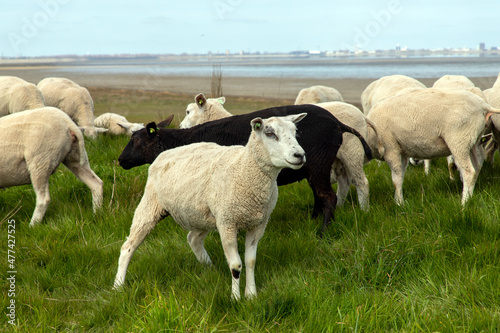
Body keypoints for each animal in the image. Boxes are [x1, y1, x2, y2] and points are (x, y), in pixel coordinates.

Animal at [114, 113, 306, 300]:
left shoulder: (258, 224)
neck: (244, 168)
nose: (300, 155)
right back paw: (118, 285)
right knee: (128, 246)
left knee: (193, 239)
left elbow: (250, 261)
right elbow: (236, 265)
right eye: (270, 133)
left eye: (295, 132)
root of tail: (163, 154)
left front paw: (251, 295)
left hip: (201, 215)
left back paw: (209, 267)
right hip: (150, 204)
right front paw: (235, 298)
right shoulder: (227, 222)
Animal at [119, 103, 374, 233]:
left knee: (329, 196)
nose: (120, 160)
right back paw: (313, 220)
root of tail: (337, 123)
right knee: (320, 195)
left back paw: (323, 232)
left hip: (319, 162)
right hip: (315, 166)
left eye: (136, 140)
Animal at [368, 87, 500, 205]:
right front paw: (397, 199)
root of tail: (483, 105)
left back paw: (464, 203)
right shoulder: (401, 151)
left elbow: (396, 179)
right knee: (477, 167)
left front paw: (399, 204)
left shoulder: (390, 148)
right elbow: (401, 175)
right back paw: (470, 197)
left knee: (469, 172)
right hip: (472, 141)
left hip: (459, 140)